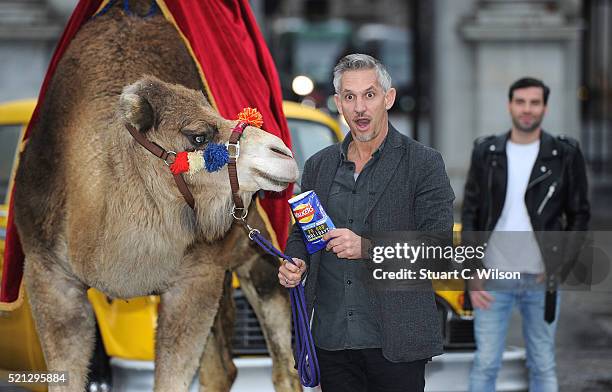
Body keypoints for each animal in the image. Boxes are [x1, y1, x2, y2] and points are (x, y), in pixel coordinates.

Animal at [12, 1, 302, 390]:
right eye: (198, 136)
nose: (283, 153)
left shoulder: (196, 276)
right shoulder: (48, 274)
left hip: (261, 256)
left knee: (284, 363)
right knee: (221, 367)